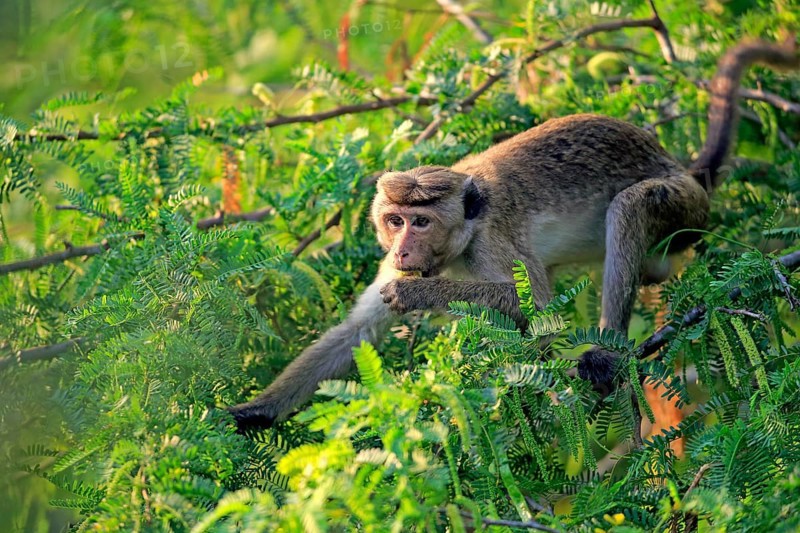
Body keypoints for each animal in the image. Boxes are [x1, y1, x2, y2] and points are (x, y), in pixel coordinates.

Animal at [228, 38, 799, 430]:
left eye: (421, 221)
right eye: (394, 220)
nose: (405, 248)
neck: (462, 236)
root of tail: (684, 169)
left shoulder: (490, 243)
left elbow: (539, 311)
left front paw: (420, 296)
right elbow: (355, 332)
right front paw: (252, 413)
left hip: (684, 204)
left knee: (631, 207)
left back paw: (608, 352)